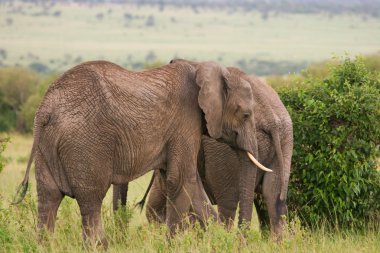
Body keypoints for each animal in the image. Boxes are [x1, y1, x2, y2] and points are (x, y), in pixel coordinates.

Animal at [14, 59, 270, 247]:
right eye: (246, 115)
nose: (241, 242)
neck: (201, 67)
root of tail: (45, 109)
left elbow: (188, 184)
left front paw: (219, 239)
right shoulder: (185, 121)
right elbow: (181, 180)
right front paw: (172, 245)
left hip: (47, 145)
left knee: (48, 198)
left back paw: (44, 245)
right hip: (85, 144)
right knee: (90, 200)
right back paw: (100, 246)